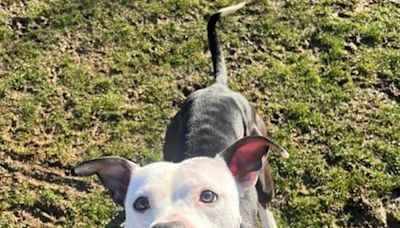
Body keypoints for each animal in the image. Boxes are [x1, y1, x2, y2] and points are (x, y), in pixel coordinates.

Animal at [73, 2, 290, 227]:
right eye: (140, 203)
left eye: (208, 196)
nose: (170, 226)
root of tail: (218, 87)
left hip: (262, 171)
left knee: (265, 203)